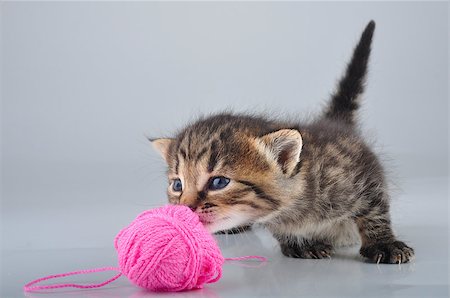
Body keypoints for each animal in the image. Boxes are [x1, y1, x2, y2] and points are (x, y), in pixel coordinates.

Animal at [151, 20, 414, 264]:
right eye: (177, 185)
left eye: (219, 182)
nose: (185, 207)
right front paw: (300, 242)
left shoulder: (364, 173)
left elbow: (375, 210)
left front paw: (383, 243)